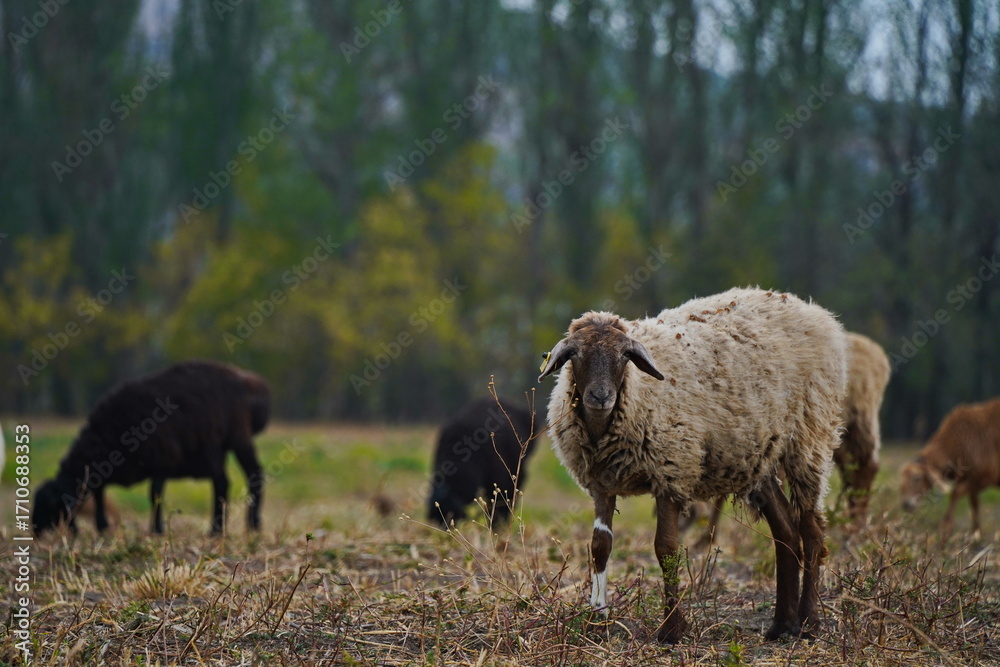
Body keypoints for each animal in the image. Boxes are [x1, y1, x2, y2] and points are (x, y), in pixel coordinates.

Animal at [33, 360, 269, 536]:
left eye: (49, 504)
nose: (34, 531)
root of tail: (249, 380)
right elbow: (99, 491)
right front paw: (102, 526)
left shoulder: (162, 460)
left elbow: (154, 494)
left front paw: (156, 529)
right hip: (217, 449)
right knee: (223, 482)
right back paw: (225, 528)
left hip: (237, 437)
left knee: (249, 475)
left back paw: (243, 526)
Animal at [539, 287, 848, 643]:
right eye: (576, 354)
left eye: (624, 355)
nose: (601, 397)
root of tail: (814, 311)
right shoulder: (602, 485)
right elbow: (599, 548)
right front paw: (597, 619)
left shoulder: (671, 472)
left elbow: (666, 549)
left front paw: (672, 629)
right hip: (760, 457)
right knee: (785, 530)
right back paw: (781, 625)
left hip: (809, 439)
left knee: (812, 532)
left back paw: (809, 622)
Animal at [900, 397, 1000, 538]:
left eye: (916, 478)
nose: (905, 503)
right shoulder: (972, 479)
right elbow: (974, 504)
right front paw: (975, 533)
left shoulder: (986, 476)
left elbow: (955, 493)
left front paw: (945, 528)